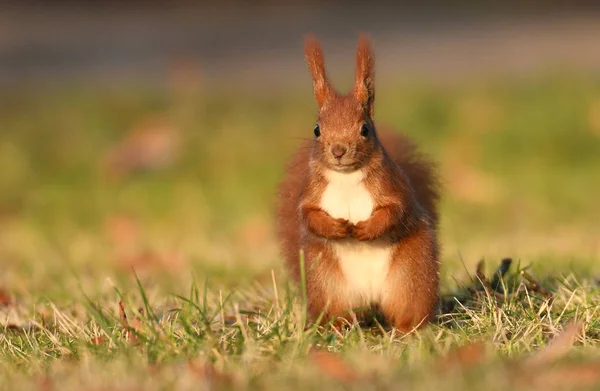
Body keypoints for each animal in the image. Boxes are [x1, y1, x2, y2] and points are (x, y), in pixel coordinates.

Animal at [276, 34, 440, 334]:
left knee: (408, 310)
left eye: (364, 129)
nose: (339, 150)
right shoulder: (311, 191)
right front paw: (336, 227)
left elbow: (396, 211)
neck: (346, 178)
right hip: (328, 284)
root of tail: (370, 297)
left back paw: (407, 331)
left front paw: (366, 229)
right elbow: (307, 215)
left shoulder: (392, 185)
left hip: (411, 276)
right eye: (316, 129)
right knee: (339, 314)